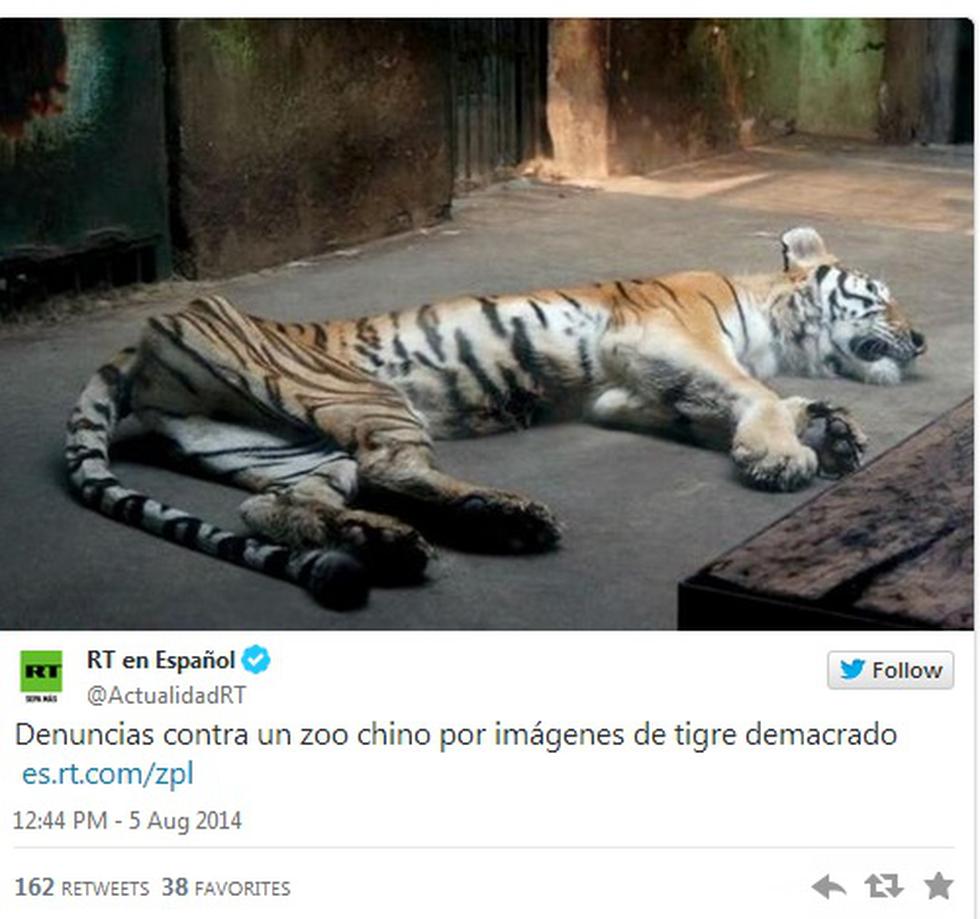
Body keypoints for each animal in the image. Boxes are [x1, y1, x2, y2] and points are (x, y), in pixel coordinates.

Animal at [65, 226, 925, 611]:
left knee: (277, 505)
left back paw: (383, 543)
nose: (919, 338)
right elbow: (753, 392)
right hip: (364, 398)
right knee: (388, 467)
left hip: (281, 446)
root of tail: (142, 336)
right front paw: (785, 453)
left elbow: (748, 401)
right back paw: (506, 517)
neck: (773, 323)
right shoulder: (659, 339)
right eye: (881, 297)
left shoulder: (627, 390)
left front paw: (832, 427)